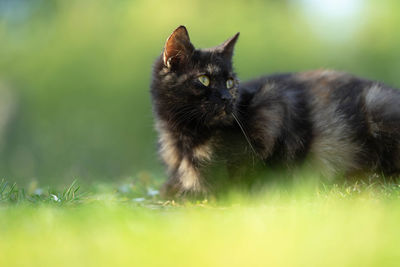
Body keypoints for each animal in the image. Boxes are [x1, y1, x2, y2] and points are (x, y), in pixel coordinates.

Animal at [150, 25, 400, 199]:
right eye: (204, 79)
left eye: (230, 82)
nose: (227, 98)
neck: (185, 139)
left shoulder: (274, 105)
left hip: (377, 102)